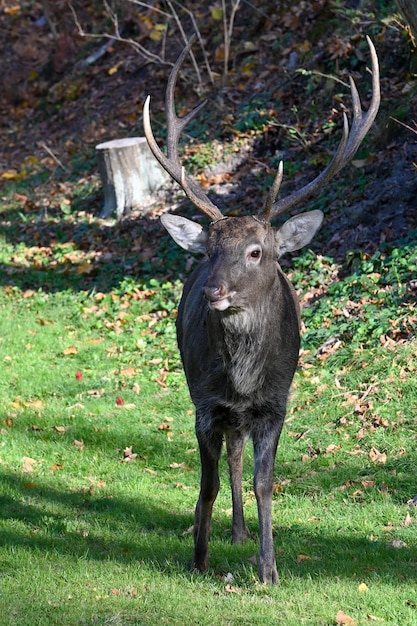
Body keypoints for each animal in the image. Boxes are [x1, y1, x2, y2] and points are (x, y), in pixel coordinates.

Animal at [142, 35, 376, 580]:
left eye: (256, 252)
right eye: (209, 250)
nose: (213, 291)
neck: (244, 380)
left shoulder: (275, 402)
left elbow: (265, 481)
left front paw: (269, 569)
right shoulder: (205, 402)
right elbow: (207, 482)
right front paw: (199, 558)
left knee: (239, 452)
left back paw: (244, 534)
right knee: (230, 453)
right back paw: (230, 531)